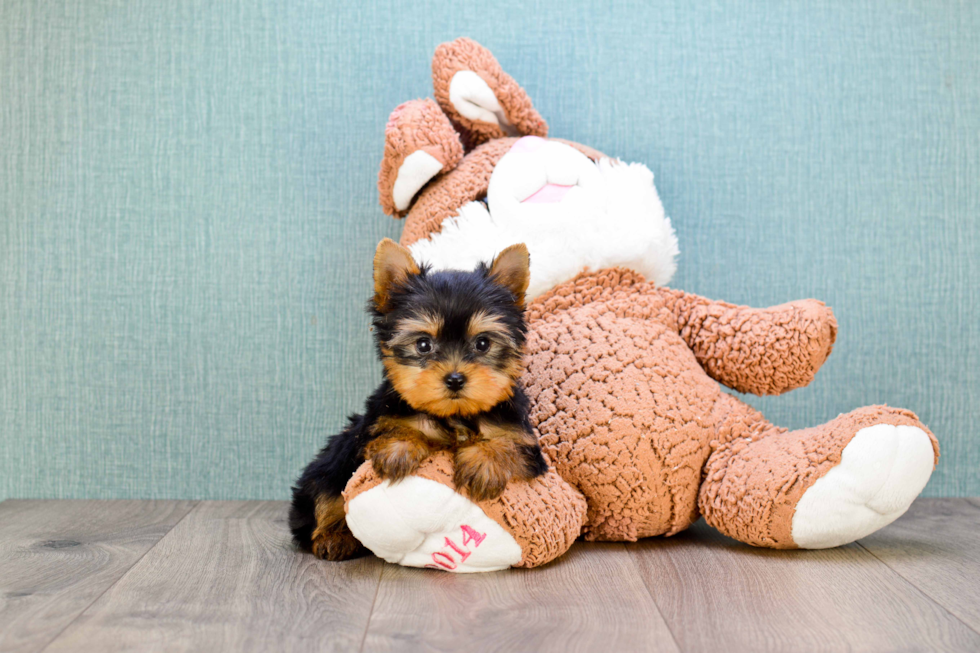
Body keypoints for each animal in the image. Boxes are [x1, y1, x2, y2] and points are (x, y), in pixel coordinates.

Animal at [290, 237, 552, 556]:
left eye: (482, 343)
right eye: (423, 344)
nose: (455, 379)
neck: (454, 415)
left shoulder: (524, 442)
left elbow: (508, 445)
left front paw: (484, 464)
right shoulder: (372, 426)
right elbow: (393, 430)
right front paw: (400, 448)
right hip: (330, 461)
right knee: (326, 491)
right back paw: (334, 536)